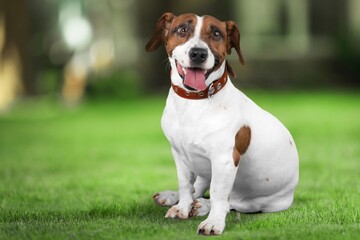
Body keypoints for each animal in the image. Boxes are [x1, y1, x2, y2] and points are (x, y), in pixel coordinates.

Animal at [145, 12, 300, 235]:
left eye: (216, 34)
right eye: (182, 29)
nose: (198, 54)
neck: (195, 102)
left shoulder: (224, 160)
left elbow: (219, 194)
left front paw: (213, 222)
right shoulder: (180, 155)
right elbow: (185, 185)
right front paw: (182, 207)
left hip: (262, 201)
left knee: (232, 202)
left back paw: (204, 205)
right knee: (198, 187)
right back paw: (176, 197)